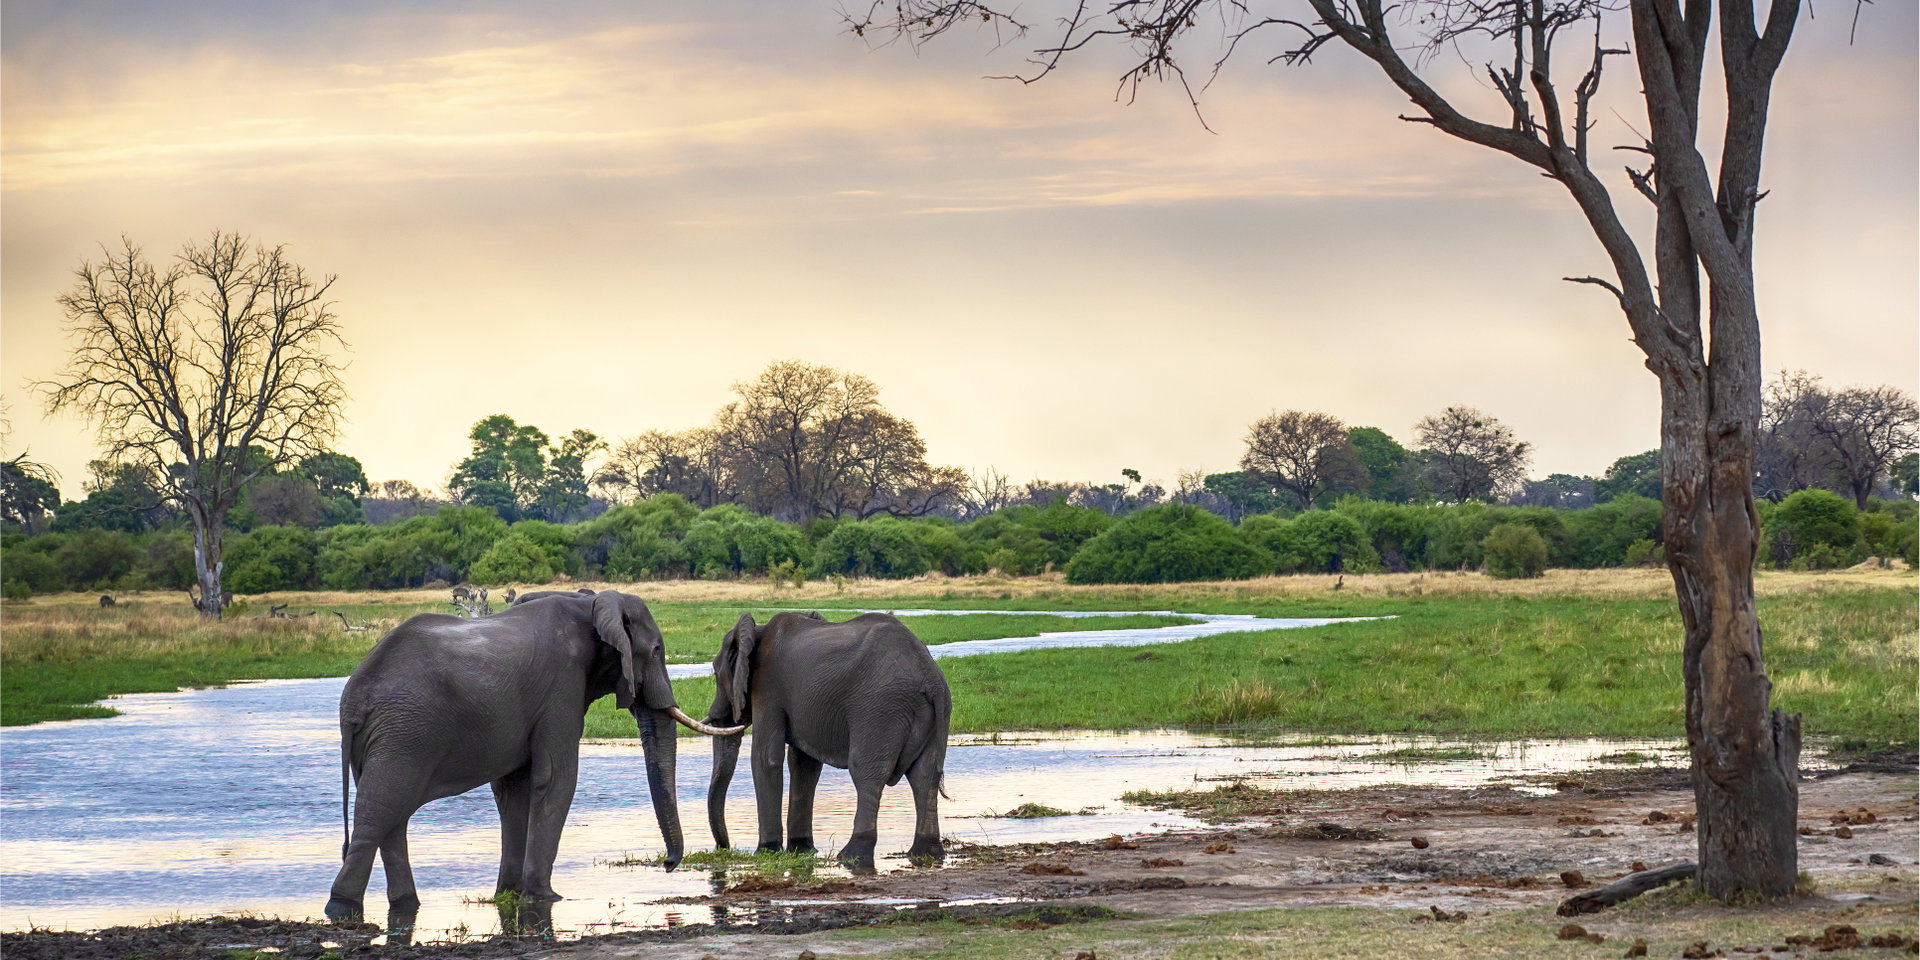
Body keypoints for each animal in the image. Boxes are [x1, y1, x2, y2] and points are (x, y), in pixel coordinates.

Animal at [323, 590, 741, 922]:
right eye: (656, 650)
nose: (668, 865)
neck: (589, 603)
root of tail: (354, 698)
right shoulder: (561, 686)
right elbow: (556, 778)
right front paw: (546, 897)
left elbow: (515, 790)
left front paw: (509, 894)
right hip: (405, 733)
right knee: (381, 810)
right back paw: (342, 909)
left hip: (391, 736)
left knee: (390, 817)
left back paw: (405, 905)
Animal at [703, 611, 951, 873]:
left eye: (715, 674)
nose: (723, 848)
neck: (757, 631)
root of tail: (930, 678)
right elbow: (804, 765)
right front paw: (801, 849)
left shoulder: (767, 688)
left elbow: (766, 757)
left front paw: (766, 851)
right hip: (931, 711)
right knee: (924, 775)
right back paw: (926, 853)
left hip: (879, 709)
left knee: (867, 774)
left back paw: (851, 857)